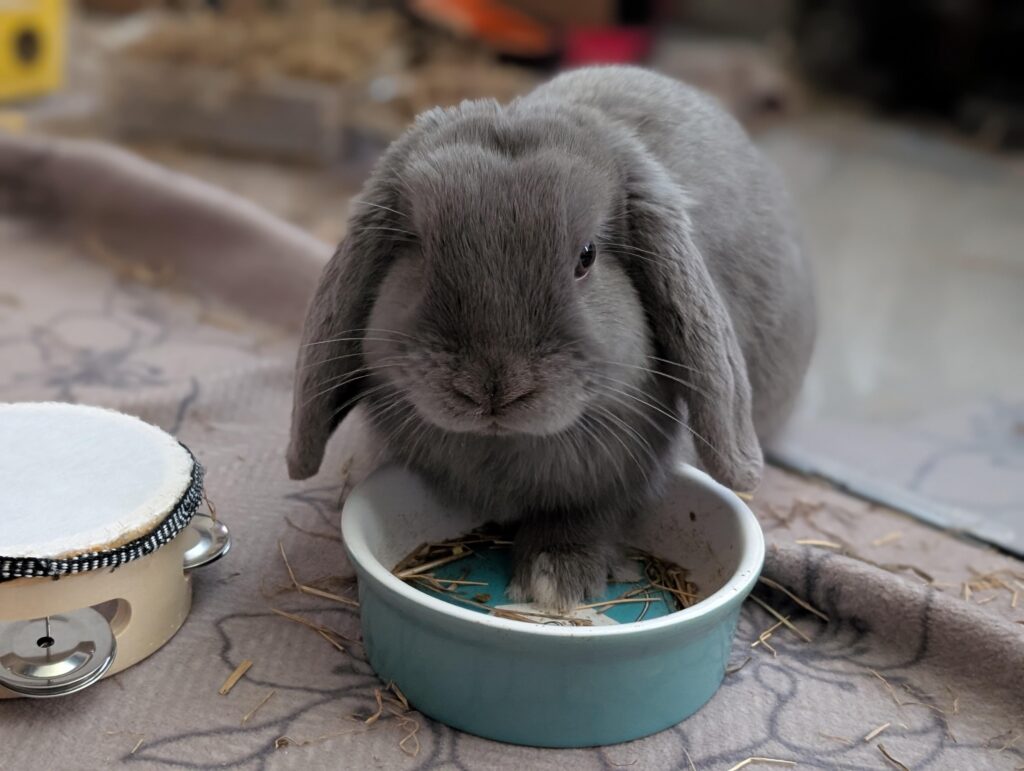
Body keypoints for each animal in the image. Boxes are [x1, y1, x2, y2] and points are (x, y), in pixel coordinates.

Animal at [288, 66, 816, 611]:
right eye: (418, 248)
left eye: (587, 256)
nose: (492, 388)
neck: (504, 448)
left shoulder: (617, 478)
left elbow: (589, 515)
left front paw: (554, 580)